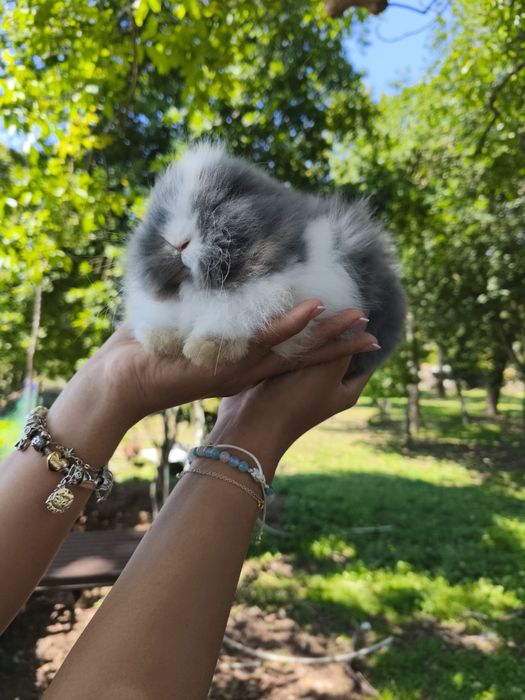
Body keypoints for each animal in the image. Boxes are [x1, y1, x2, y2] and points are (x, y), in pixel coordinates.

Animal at [123, 142, 406, 375]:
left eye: (220, 204)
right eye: (158, 214)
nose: (177, 242)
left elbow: (238, 308)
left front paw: (206, 348)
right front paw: (161, 341)